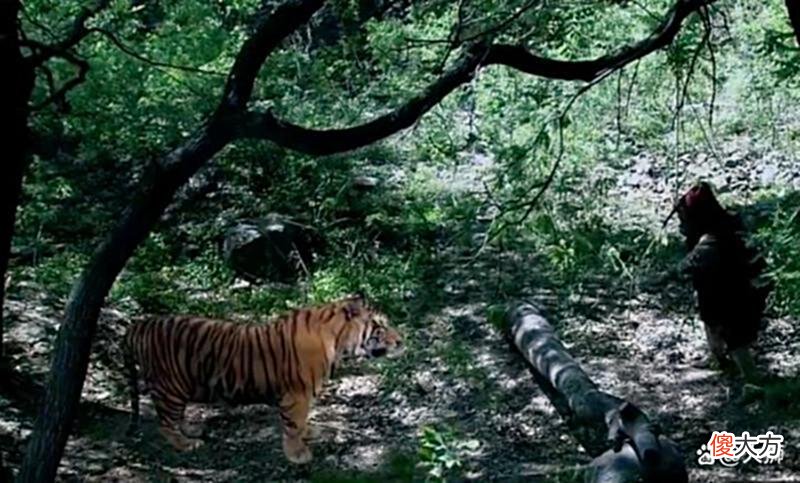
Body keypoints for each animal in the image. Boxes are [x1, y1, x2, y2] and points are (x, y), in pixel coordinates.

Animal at [122, 295, 403, 464]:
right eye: (380, 327)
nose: (402, 340)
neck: (338, 342)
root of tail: (139, 324)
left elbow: (303, 421)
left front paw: (311, 432)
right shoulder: (297, 394)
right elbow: (293, 425)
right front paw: (297, 454)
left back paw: (191, 429)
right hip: (170, 386)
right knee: (165, 423)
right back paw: (186, 443)